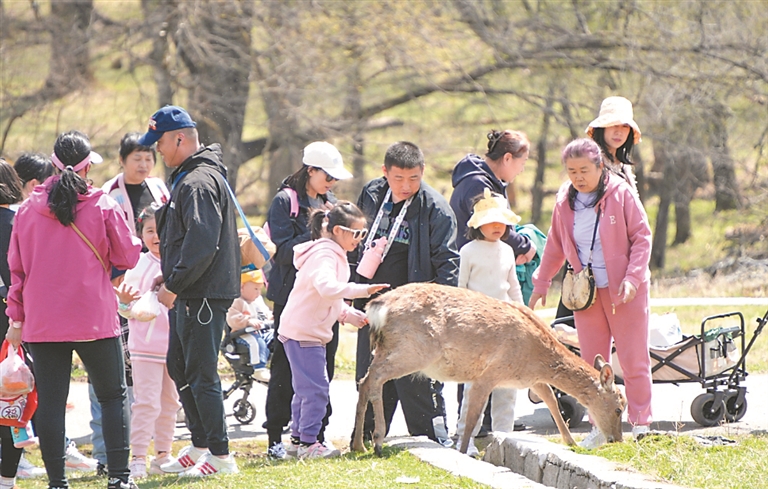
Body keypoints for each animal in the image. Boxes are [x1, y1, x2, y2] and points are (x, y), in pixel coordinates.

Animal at [351, 283, 627, 455]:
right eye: (618, 408)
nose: (617, 439)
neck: (537, 355)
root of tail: (377, 308)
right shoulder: (489, 374)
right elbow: (473, 417)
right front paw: (463, 452)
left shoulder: (530, 379)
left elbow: (551, 399)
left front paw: (571, 443)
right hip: (413, 350)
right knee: (373, 379)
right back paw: (375, 441)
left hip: (389, 348)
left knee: (366, 380)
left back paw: (360, 445)